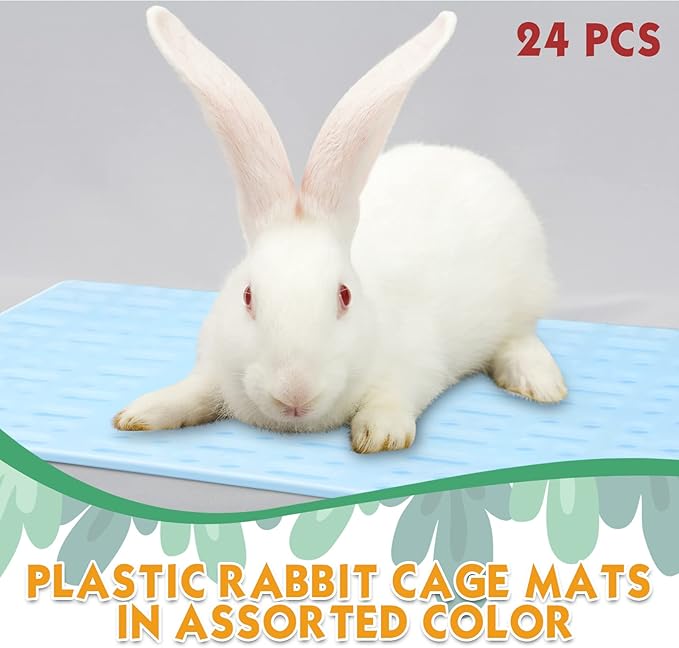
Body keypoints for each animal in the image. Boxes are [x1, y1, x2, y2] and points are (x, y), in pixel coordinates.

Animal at [113, 6, 567, 453]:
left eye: (344, 296)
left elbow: (394, 394)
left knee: (519, 338)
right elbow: (193, 393)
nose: (295, 393)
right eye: (247, 297)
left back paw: (541, 384)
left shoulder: (416, 361)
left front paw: (381, 433)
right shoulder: (214, 367)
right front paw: (139, 414)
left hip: (526, 292)